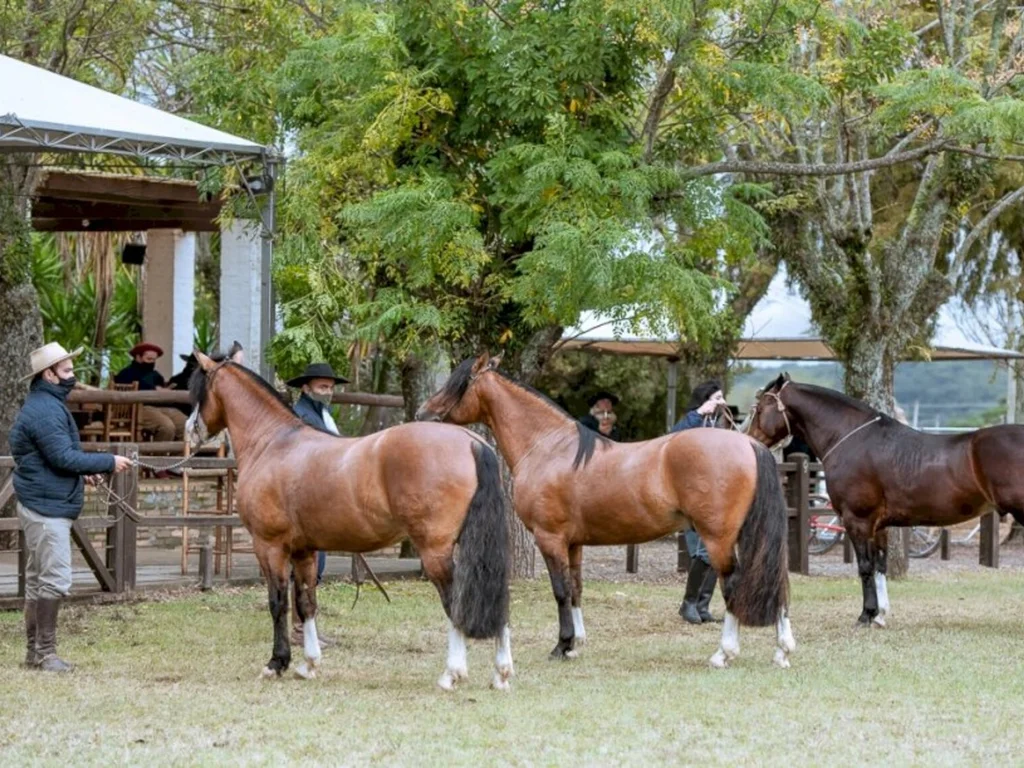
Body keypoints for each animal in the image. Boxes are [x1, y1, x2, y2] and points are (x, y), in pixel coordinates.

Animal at [184, 351, 514, 690]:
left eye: (197, 391)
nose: (191, 430)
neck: (273, 443)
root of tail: (471, 441)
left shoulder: (270, 546)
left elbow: (278, 603)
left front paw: (276, 663)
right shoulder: (304, 551)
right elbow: (306, 602)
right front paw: (309, 664)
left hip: (436, 551)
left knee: (455, 603)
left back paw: (452, 674)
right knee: (498, 602)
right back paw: (501, 674)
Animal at [416, 353, 796, 669]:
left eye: (458, 382)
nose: (422, 414)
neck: (548, 447)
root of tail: (748, 444)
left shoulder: (550, 538)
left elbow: (560, 591)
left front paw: (561, 645)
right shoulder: (573, 543)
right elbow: (576, 588)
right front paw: (576, 643)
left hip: (718, 538)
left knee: (734, 584)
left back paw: (724, 654)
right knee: (774, 581)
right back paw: (782, 650)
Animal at [746, 373, 1024, 628]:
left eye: (760, 409)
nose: (749, 442)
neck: (852, 439)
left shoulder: (857, 520)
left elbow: (865, 567)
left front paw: (865, 615)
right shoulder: (878, 525)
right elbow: (880, 565)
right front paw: (879, 615)